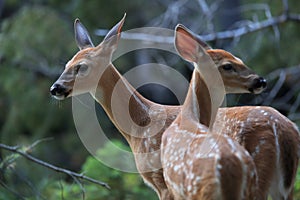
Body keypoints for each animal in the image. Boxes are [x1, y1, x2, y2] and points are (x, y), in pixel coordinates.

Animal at [50, 14, 298, 199]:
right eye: (67, 64)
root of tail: (284, 130)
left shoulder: (161, 180)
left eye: (82, 67)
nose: (56, 87)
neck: (139, 125)